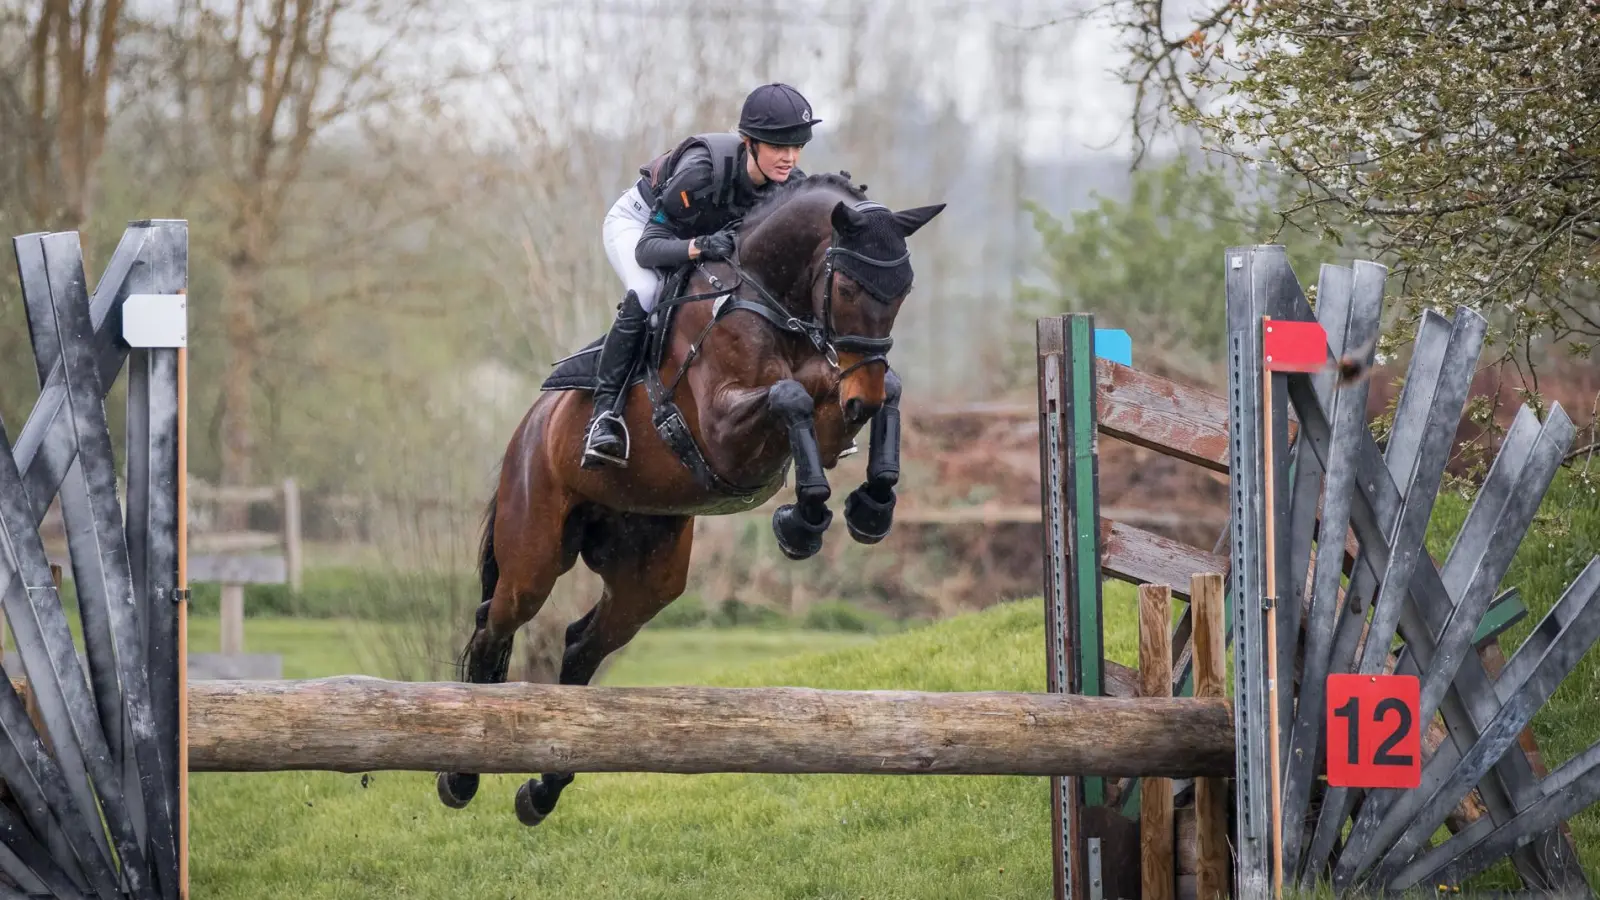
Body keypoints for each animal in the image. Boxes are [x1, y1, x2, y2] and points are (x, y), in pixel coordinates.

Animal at [432, 171, 940, 826]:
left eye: (903, 290)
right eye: (849, 285)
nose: (861, 397)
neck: (769, 299)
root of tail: (525, 432)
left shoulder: (833, 409)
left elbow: (872, 395)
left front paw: (870, 507)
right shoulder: (724, 430)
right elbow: (790, 397)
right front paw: (802, 520)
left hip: (650, 574)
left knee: (581, 643)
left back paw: (542, 789)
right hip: (534, 555)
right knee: (495, 624)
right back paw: (461, 775)